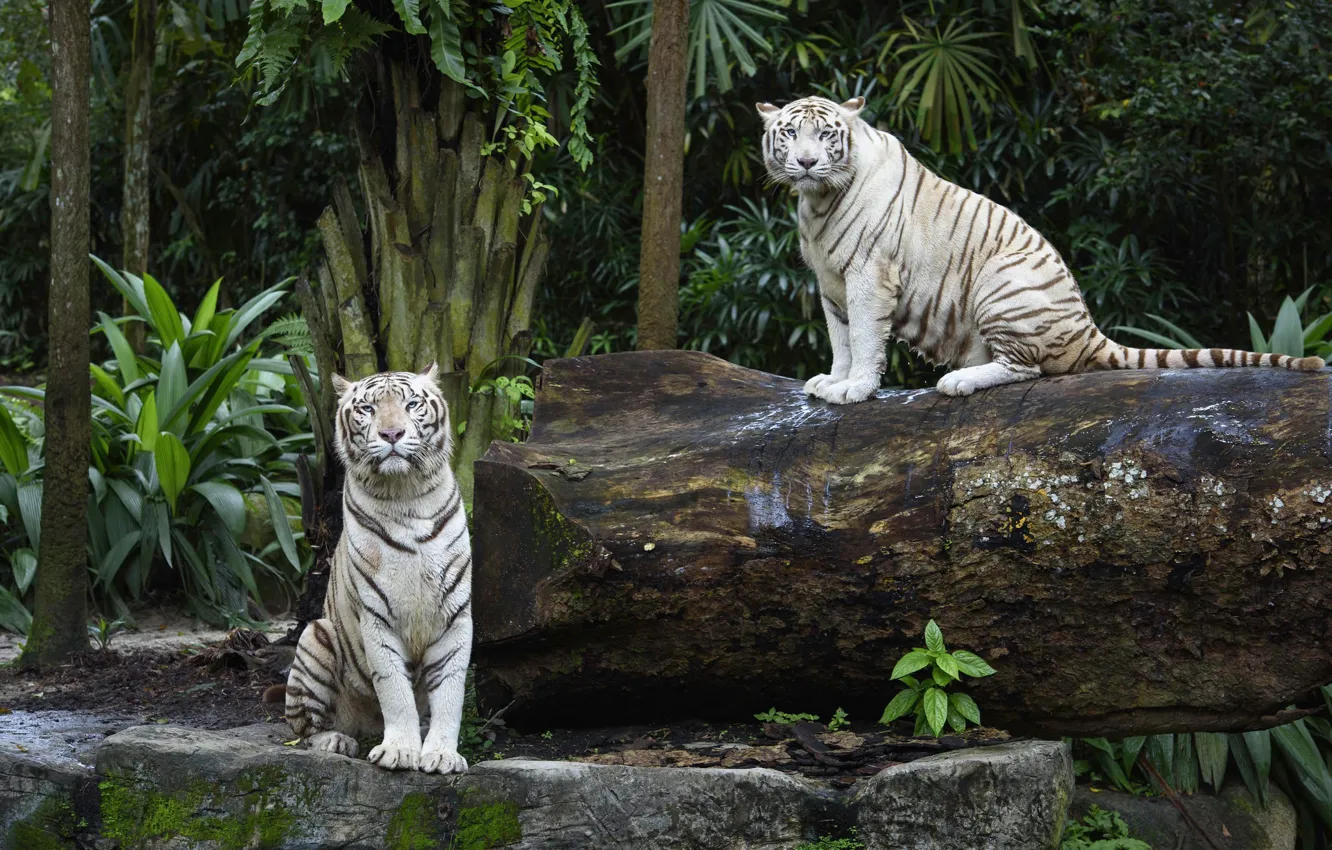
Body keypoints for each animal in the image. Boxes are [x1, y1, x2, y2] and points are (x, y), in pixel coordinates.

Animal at [268, 364, 472, 774]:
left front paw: (441, 754)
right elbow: (393, 688)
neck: (407, 495)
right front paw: (399, 751)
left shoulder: (455, 616)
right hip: (315, 635)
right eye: (368, 409)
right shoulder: (376, 616)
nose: (391, 434)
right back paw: (336, 740)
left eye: (411, 405)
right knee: (303, 729)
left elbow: (450, 693)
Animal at [756, 95, 1325, 402]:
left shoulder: (869, 275)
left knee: (1026, 368)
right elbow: (841, 338)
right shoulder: (830, 283)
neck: (817, 203)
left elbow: (865, 339)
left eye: (825, 135)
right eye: (790, 134)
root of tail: (1088, 330)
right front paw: (832, 380)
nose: (805, 163)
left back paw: (957, 381)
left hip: (1001, 284)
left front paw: (854, 389)